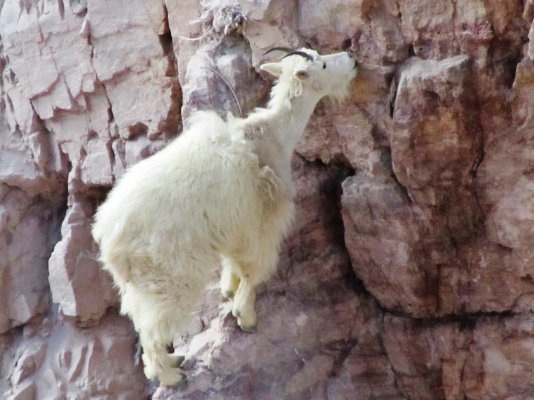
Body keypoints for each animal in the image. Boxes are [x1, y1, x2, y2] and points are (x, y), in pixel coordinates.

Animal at [92, 47, 360, 388]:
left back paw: (173, 360)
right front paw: (246, 315)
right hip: (168, 275)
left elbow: (235, 263)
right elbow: (254, 268)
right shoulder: (262, 218)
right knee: (153, 329)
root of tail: (109, 241)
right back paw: (171, 375)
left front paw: (229, 290)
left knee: (141, 321)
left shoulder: (237, 225)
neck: (272, 135)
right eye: (323, 64)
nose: (352, 58)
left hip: (142, 283)